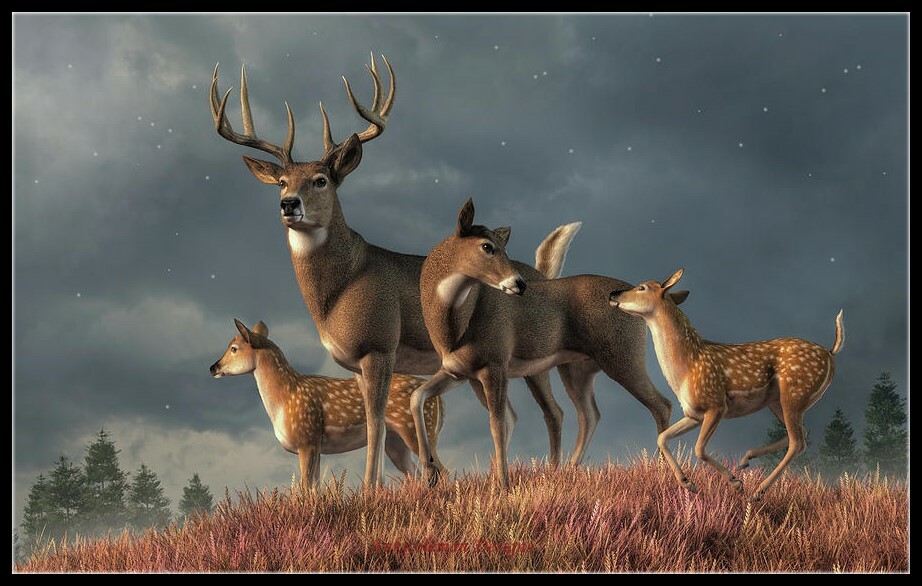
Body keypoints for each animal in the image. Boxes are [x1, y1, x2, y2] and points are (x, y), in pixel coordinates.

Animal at [209, 319, 445, 488]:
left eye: (234, 348)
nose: (213, 367)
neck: (285, 398)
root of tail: (439, 401)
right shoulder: (317, 446)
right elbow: (315, 488)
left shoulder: (307, 439)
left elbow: (305, 488)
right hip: (395, 443)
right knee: (417, 474)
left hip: (415, 430)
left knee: (441, 472)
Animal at [410, 199, 683, 488]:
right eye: (487, 246)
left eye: (504, 248)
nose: (519, 284)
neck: (457, 327)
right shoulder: (460, 371)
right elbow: (417, 397)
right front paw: (430, 472)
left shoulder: (494, 364)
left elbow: (497, 424)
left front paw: (503, 485)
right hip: (575, 368)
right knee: (585, 413)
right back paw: (565, 470)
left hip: (622, 355)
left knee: (660, 404)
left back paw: (663, 471)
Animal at [610, 269, 844, 501]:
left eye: (642, 287)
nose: (614, 294)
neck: (687, 368)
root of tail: (830, 353)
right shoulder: (694, 413)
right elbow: (662, 437)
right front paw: (687, 483)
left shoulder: (716, 404)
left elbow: (699, 449)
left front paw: (734, 482)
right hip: (777, 401)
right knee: (801, 434)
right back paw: (746, 459)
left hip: (795, 393)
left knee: (797, 442)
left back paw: (757, 491)